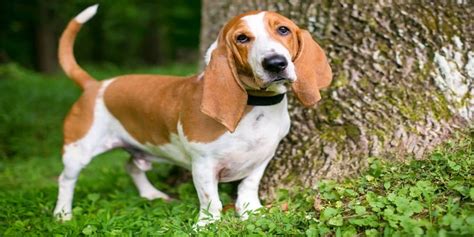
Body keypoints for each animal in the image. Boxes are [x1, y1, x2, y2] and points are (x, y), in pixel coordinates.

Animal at [53, 3, 332, 226]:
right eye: (242, 38)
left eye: (283, 30)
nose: (275, 63)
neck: (257, 106)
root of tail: (94, 85)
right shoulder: (204, 164)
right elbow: (211, 201)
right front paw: (207, 225)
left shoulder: (262, 158)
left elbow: (248, 187)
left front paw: (251, 211)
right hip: (78, 151)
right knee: (66, 180)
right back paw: (62, 214)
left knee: (131, 165)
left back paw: (151, 194)